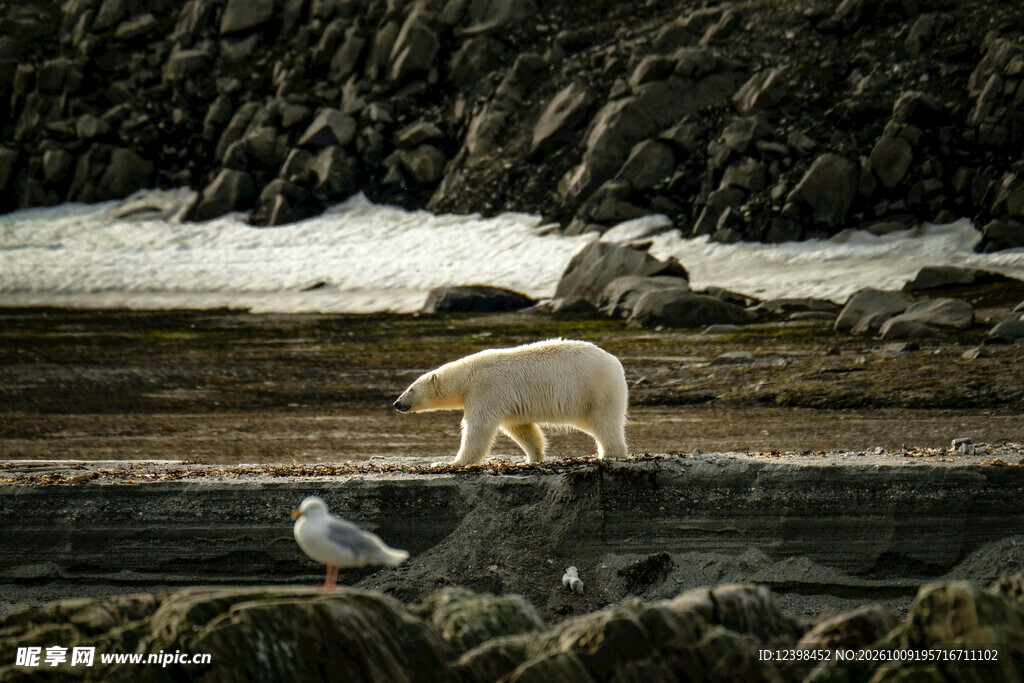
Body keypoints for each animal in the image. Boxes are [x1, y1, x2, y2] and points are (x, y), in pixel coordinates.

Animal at [393, 339, 629, 465]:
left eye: (411, 388)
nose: (397, 403)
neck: (467, 375)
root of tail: (615, 362)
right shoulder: (508, 402)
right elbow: (520, 428)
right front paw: (533, 457)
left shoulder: (485, 390)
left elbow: (479, 427)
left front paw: (453, 462)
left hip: (595, 389)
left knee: (604, 422)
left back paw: (610, 454)